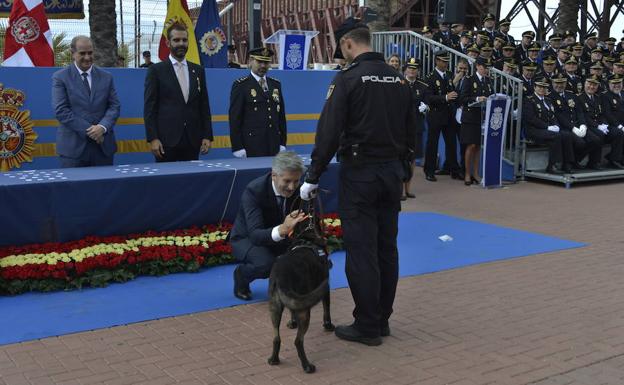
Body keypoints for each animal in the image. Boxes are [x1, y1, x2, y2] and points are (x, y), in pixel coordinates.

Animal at [268, 210, 336, 372]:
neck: (306, 237)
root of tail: (280, 276)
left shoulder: (296, 299)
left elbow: (291, 311)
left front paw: (292, 323)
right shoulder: (325, 288)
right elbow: (327, 310)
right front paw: (328, 326)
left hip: (274, 307)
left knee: (276, 338)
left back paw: (274, 359)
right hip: (305, 311)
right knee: (298, 341)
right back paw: (307, 366)